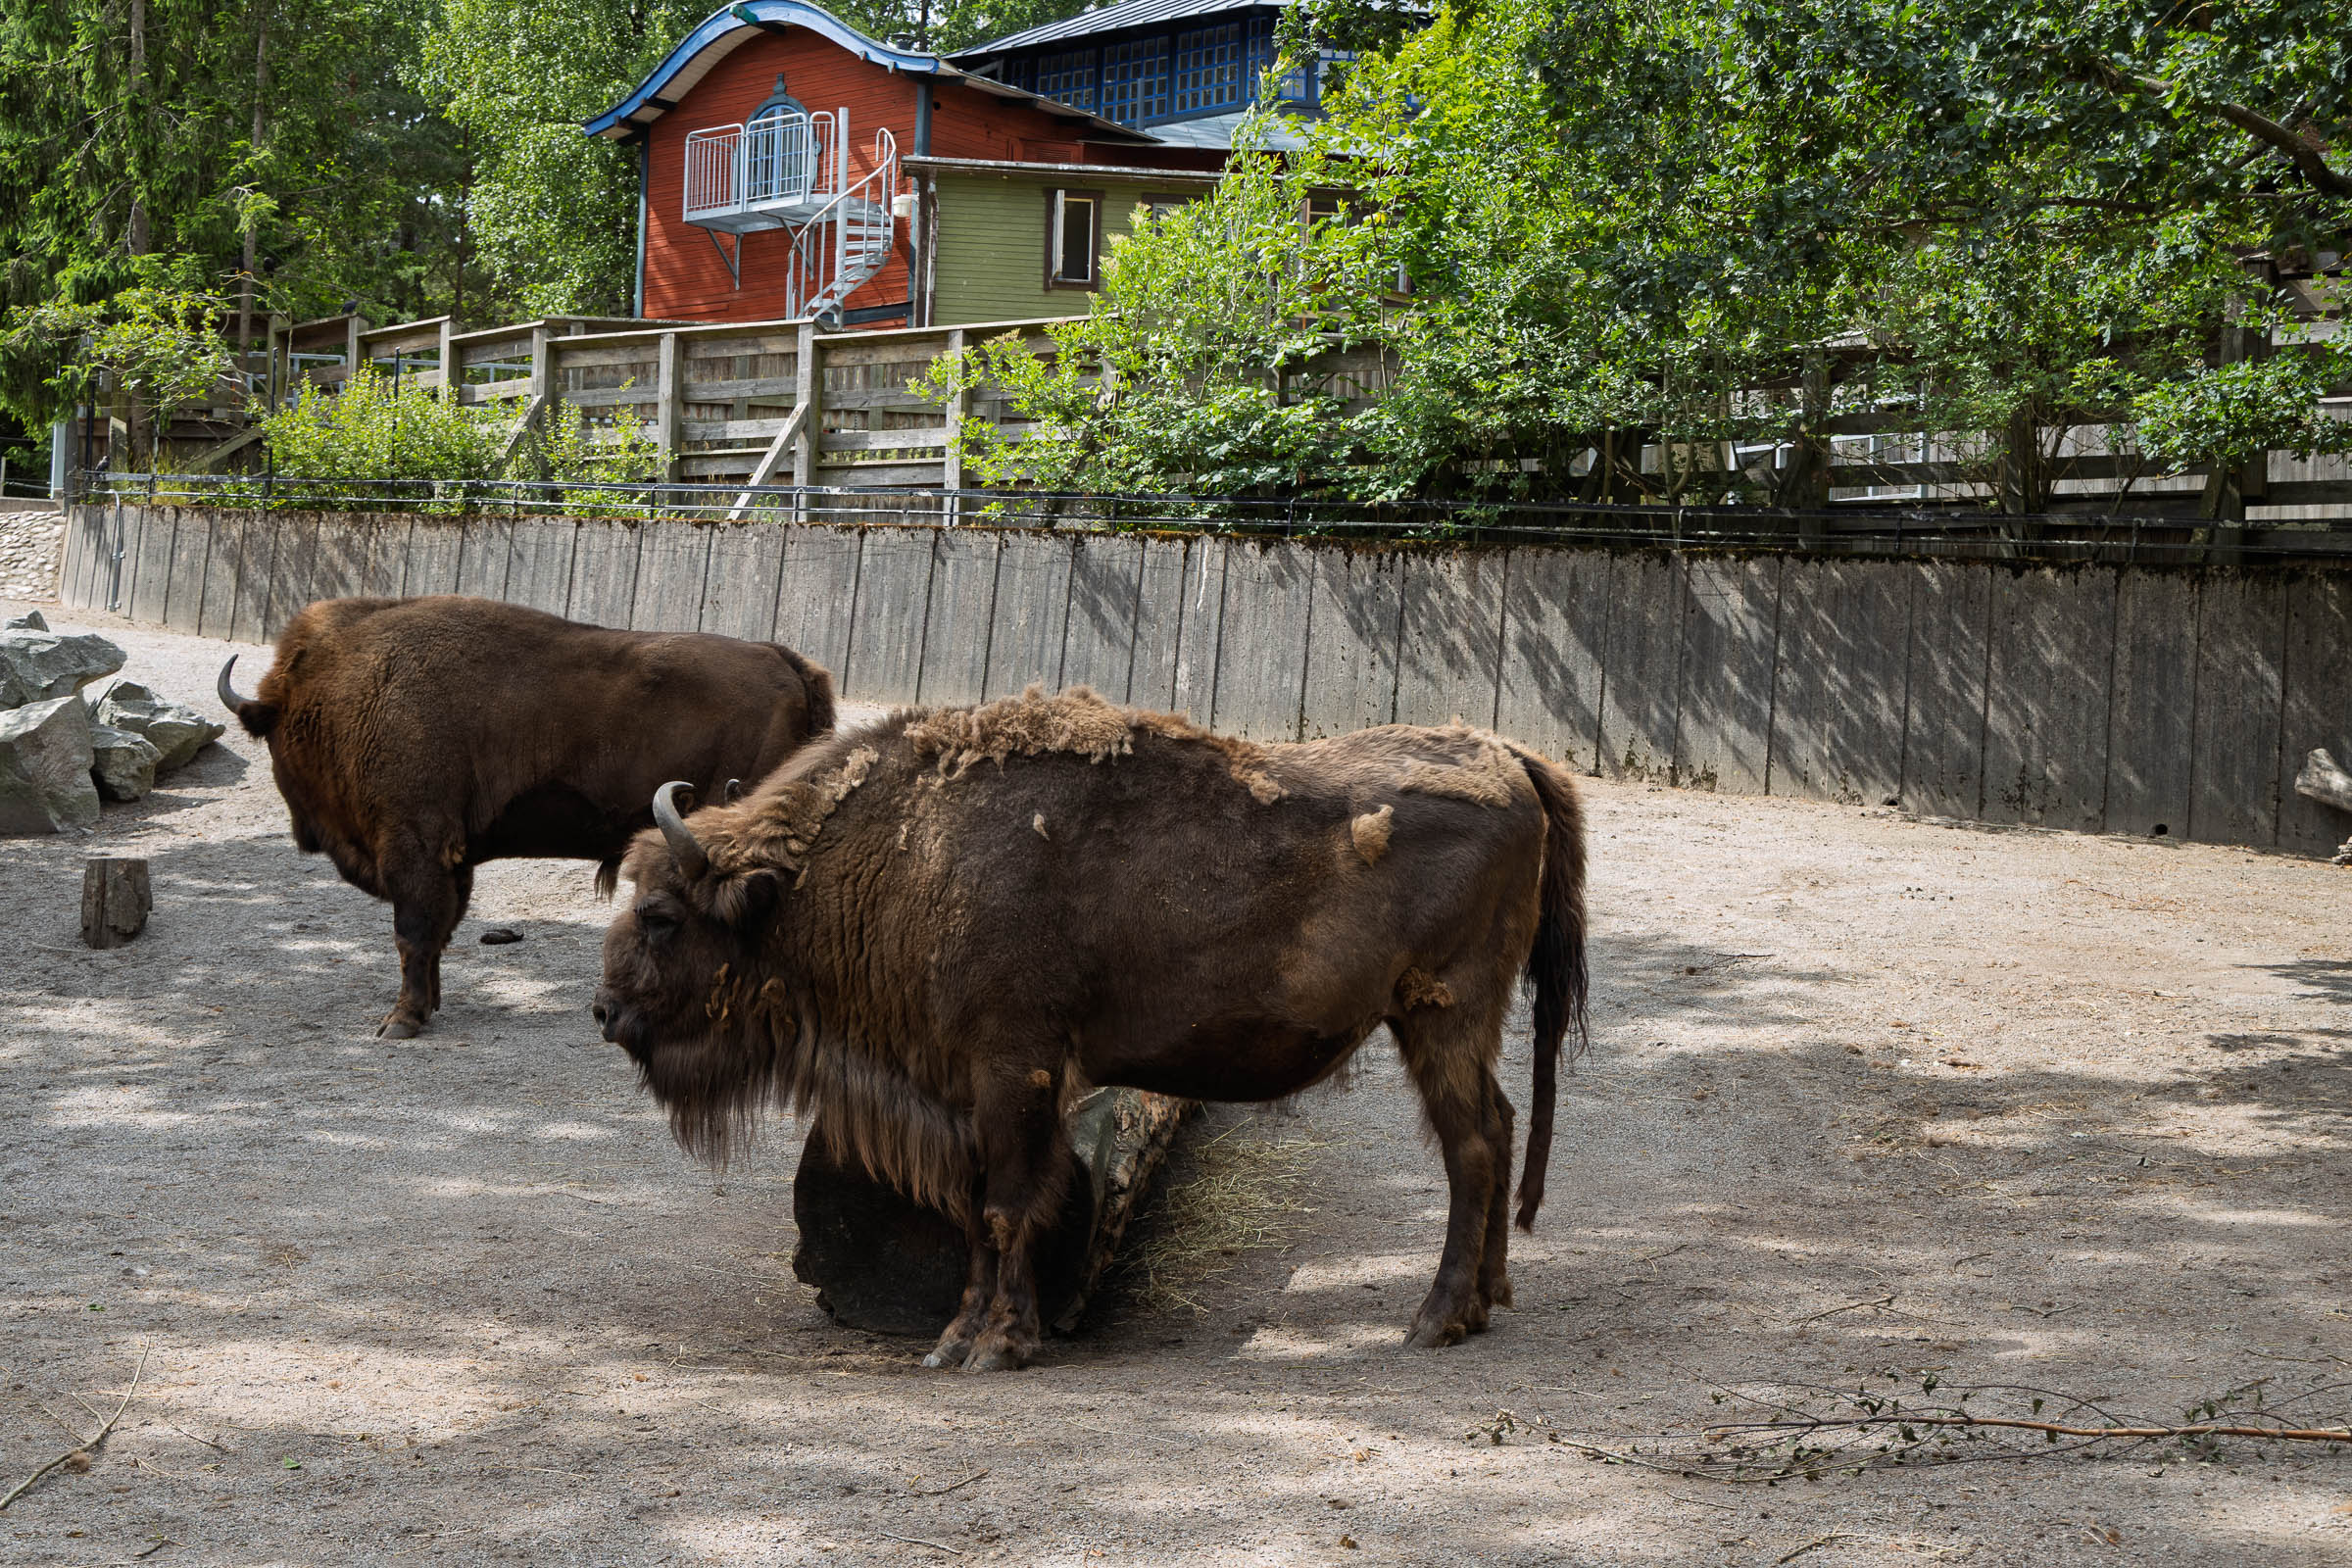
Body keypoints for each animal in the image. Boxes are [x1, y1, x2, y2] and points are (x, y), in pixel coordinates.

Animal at [220, 594, 834, 1037]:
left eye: (272, 737)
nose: (300, 831)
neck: (347, 684)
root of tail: (787, 662)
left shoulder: (415, 847)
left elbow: (413, 933)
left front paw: (400, 1022)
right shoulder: (453, 860)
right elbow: (438, 932)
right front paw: (429, 1006)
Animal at [594, 686, 1587, 1371]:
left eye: (661, 915)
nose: (606, 1013)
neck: (909, 851)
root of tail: (1511, 757)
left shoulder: (1013, 1071)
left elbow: (1007, 1207)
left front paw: (998, 1346)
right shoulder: (962, 1091)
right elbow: (972, 1213)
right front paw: (953, 1338)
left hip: (1440, 1013)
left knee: (1471, 1146)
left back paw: (1433, 1321)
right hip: (1456, 1024)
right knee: (1498, 1126)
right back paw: (1485, 1301)